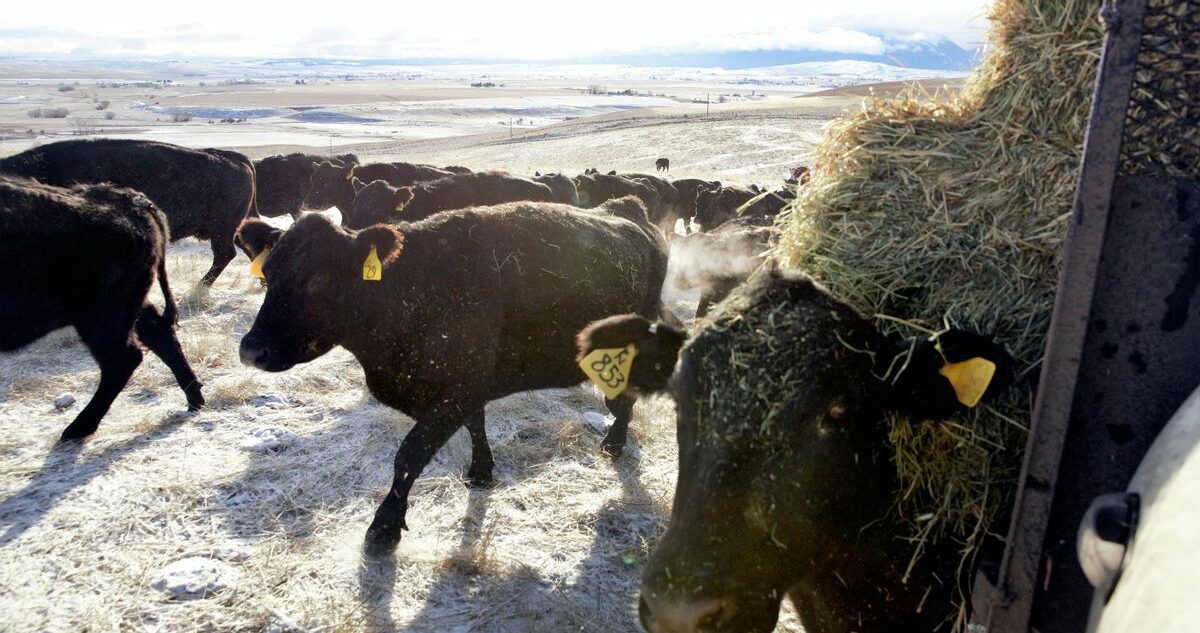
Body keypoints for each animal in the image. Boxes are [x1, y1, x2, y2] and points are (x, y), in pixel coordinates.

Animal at [0, 173, 204, 441]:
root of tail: (134, 203)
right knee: (157, 335)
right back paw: (194, 400)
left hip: (100, 317)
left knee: (124, 358)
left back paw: (77, 428)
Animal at [238, 197, 672, 553]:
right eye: (266, 275)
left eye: (320, 278)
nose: (251, 350)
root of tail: (631, 210)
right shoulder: (466, 386)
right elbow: (475, 424)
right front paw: (481, 471)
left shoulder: (453, 390)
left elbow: (409, 455)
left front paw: (384, 527)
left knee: (626, 397)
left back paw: (614, 443)